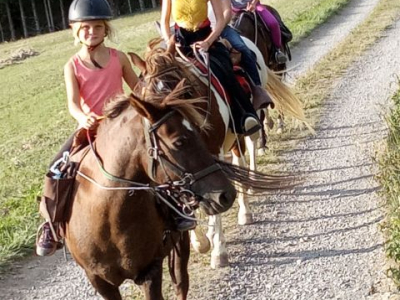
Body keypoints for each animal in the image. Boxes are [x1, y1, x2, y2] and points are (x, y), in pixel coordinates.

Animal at [65, 88, 238, 298]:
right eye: (179, 142)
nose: (226, 194)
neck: (107, 220)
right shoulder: (100, 281)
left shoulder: (150, 271)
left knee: (181, 284)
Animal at [130, 38, 304, 270]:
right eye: (148, 96)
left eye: (184, 91)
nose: (168, 127)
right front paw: (200, 241)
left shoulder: (211, 157)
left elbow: (218, 199)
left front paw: (218, 250)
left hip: (247, 124)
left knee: (248, 149)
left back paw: (246, 204)